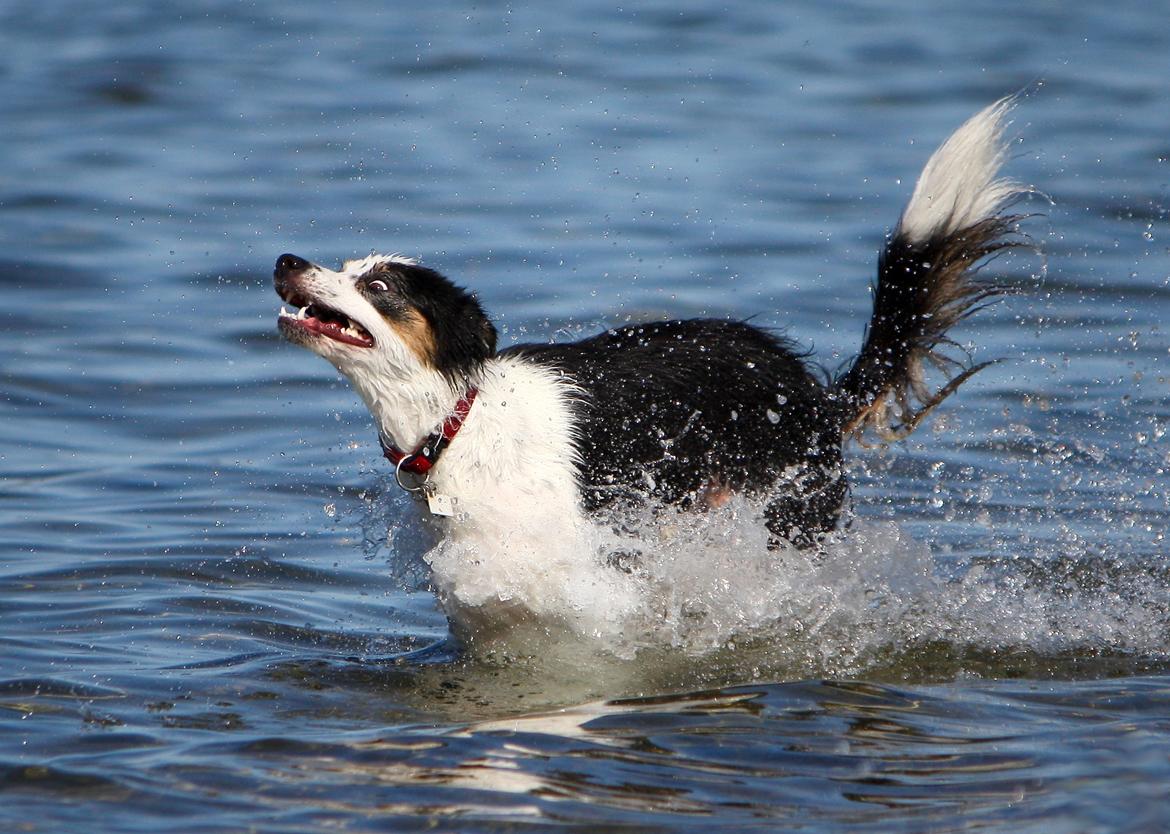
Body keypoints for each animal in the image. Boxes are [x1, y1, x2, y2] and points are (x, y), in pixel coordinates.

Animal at [278, 97, 1029, 622]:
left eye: (378, 286)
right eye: (344, 267)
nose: (285, 260)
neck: (458, 421)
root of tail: (812, 391)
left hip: (788, 519)